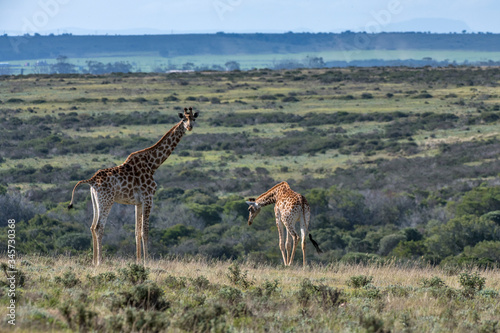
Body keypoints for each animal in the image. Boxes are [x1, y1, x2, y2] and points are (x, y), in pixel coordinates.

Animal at [68, 107, 199, 266]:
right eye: (184, 119)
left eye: (193, 118)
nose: (189, 127)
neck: (153, 164)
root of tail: (92, 180)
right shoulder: (148, 197)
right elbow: (145, 231)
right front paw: (147, 261)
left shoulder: (138, 202)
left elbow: (137, 232)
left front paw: (138, 261)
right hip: (107, 200)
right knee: (99, 227)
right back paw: (100, 262)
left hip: (96, 201)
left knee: (92, 226)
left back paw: (93, 262)